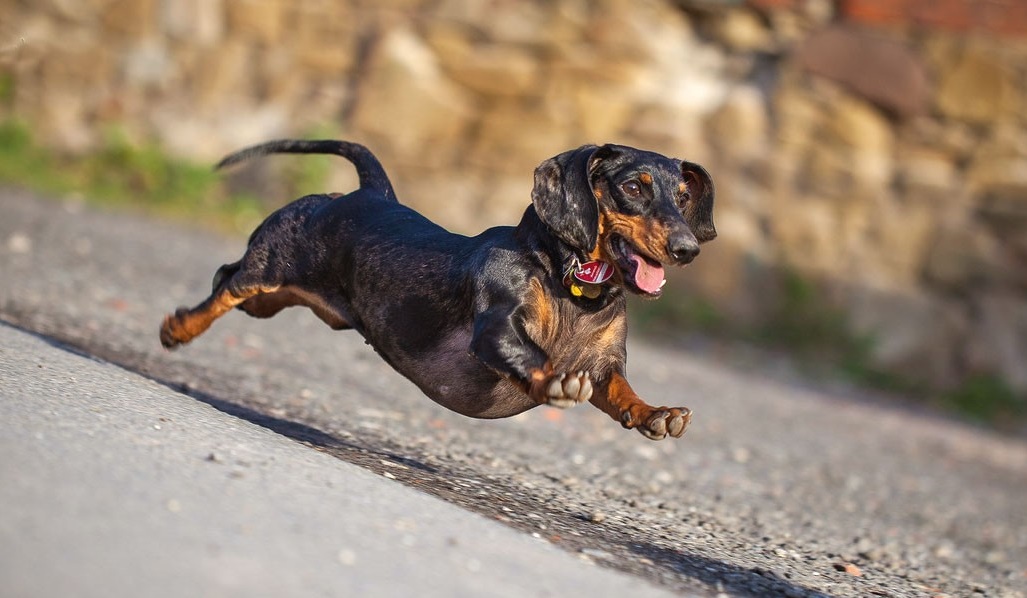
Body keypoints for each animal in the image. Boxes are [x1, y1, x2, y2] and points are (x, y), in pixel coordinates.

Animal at [160, 140, 715, 440]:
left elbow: (621, 391)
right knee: (226, 283)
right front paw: (555, 379)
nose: (688, 249)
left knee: (227, 280)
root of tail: (368, 191)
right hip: (269, 267)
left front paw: (656, 413)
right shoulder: (496, 329)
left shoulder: (604, 367)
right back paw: (177, 327)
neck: (574, 284)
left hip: (269, 301)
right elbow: (531, 355)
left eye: (683, 196)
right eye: (634, 187)